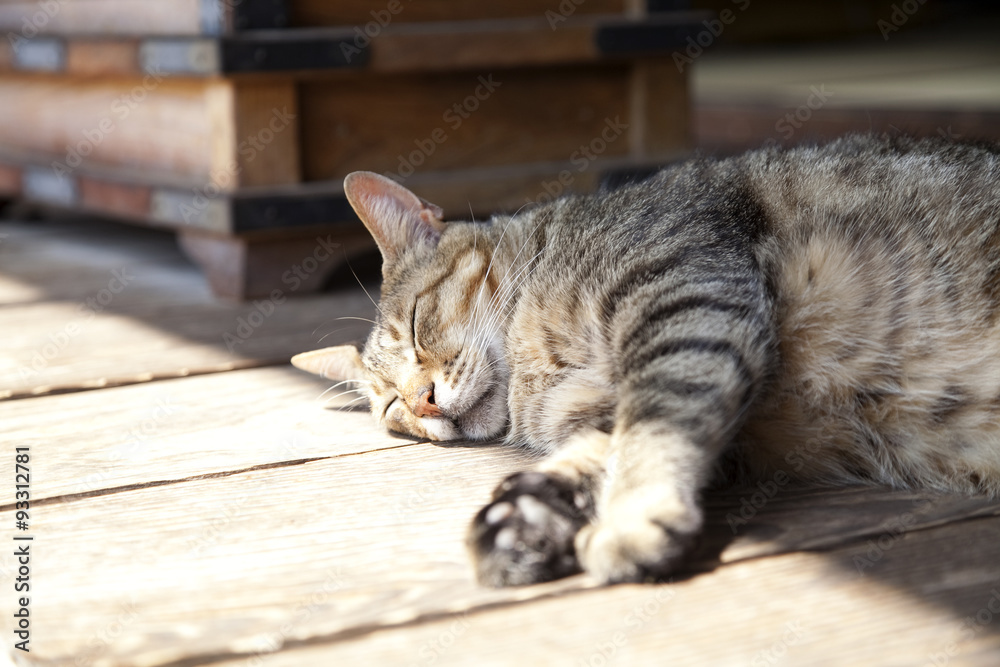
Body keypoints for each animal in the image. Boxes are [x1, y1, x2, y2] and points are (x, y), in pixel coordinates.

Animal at [292, 133, 1000, 588]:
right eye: (391, 407)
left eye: (416, 326)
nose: (423, 402)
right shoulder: (617, 408)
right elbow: (599, 450)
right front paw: (523, 516)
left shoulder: (685, 298)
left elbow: (658, 426)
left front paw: (631, 519)